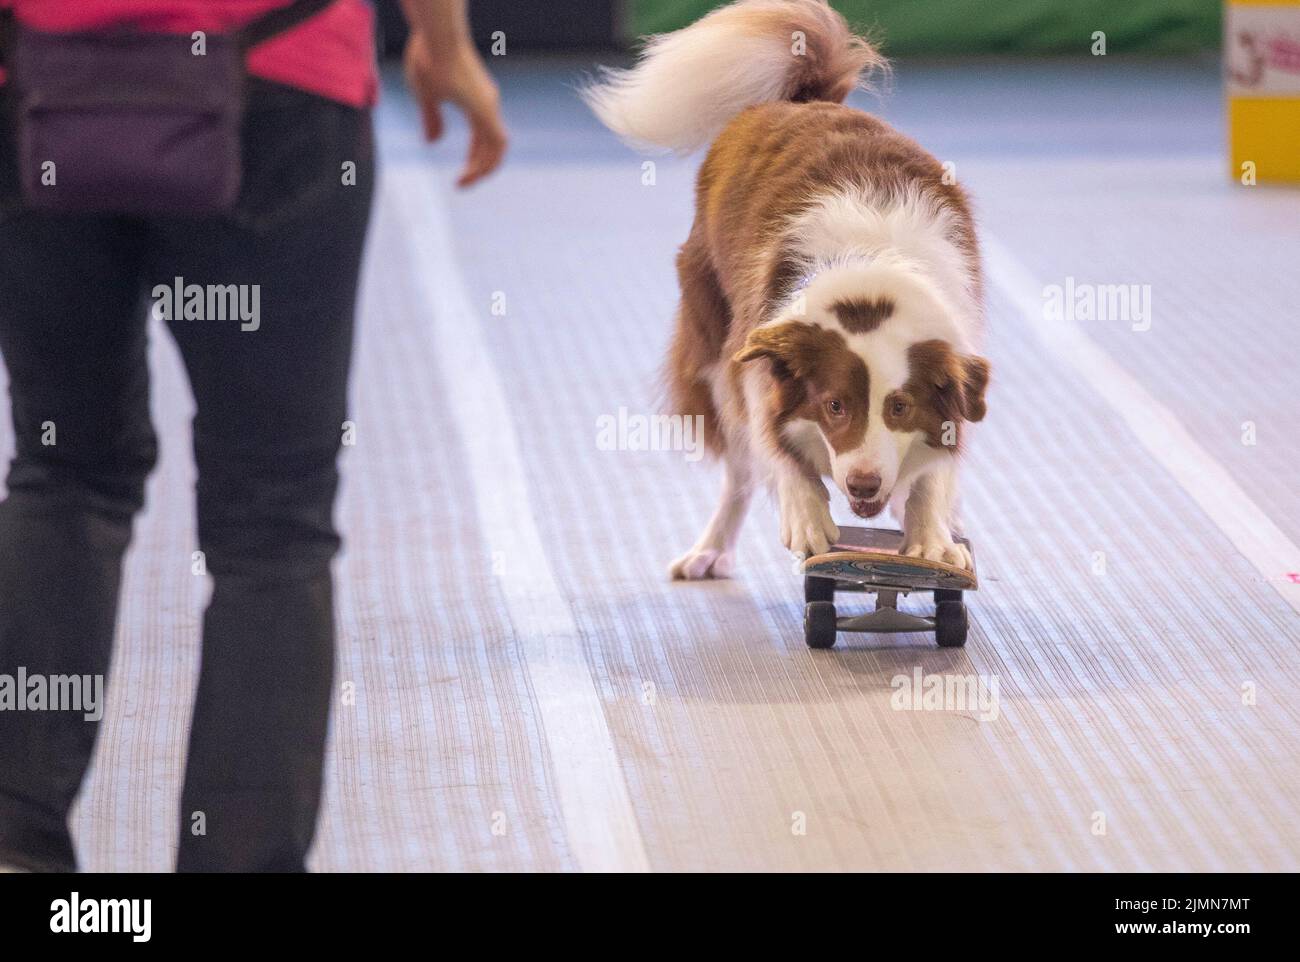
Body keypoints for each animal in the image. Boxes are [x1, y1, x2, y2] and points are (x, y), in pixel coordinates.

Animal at [585, 0, 987, 579]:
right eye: (834, 406)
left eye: (901, 407)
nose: (863, 483)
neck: (871, 278)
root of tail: (803, 101)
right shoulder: (755, 347)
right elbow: (772, 443)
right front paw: (807, 513)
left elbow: (937, 468)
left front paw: (932, 534)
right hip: (710, 342)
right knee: (739, 471)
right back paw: (709, 550)